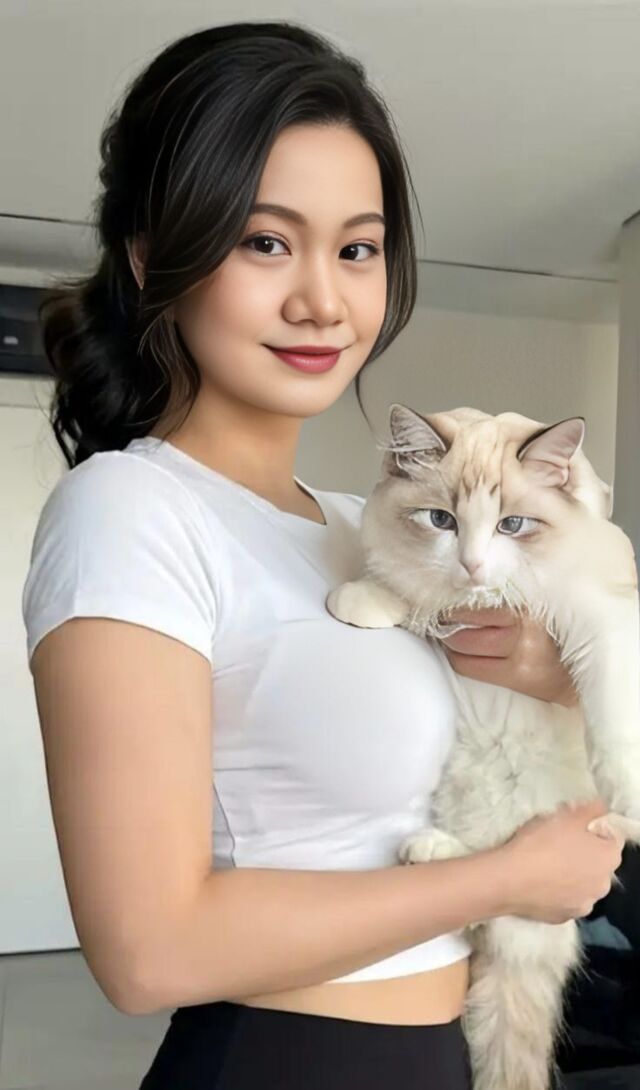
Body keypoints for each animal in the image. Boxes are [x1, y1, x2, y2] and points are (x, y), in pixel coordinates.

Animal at [325, 402, 640, 1090]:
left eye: (512, 525)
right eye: (440, 521)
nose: (471, 564)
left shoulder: (602, 622)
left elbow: (612, 718)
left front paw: (629, 810)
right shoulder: (430, 590)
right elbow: (407, 591)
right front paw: (358, 602)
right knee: (479, 893)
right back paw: (425, 850)